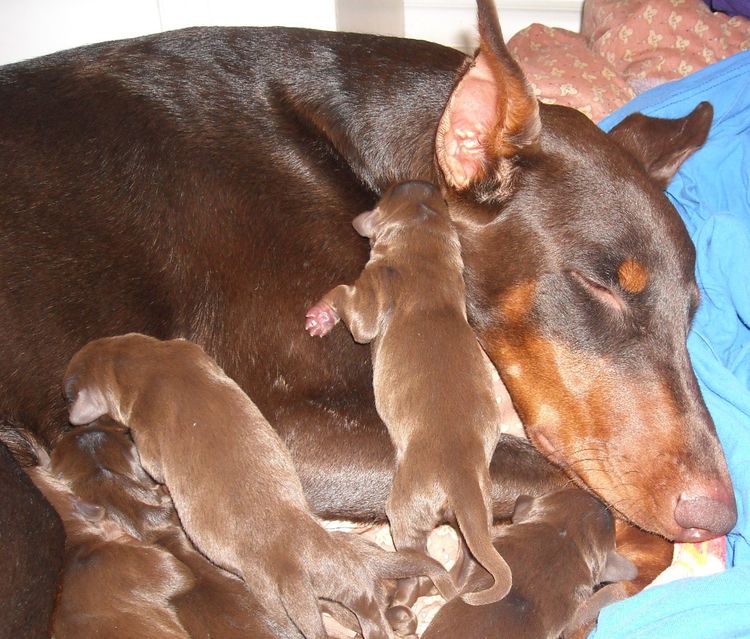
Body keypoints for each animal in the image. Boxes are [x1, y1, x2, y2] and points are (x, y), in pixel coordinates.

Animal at [64, 336, 456, 639]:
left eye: (70, 390)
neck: (150, 364)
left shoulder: (146, 440)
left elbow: (153, 466)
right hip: (357, 554)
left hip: (266, 589)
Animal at [308, 180, 516, 604]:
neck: (424, 252)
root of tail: (459, 476)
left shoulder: (373, 287)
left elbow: (349, 302)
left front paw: (321, 314)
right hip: (483, 503)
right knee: (471, 552)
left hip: (405, 504)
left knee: (417, 553)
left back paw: (405, 589)